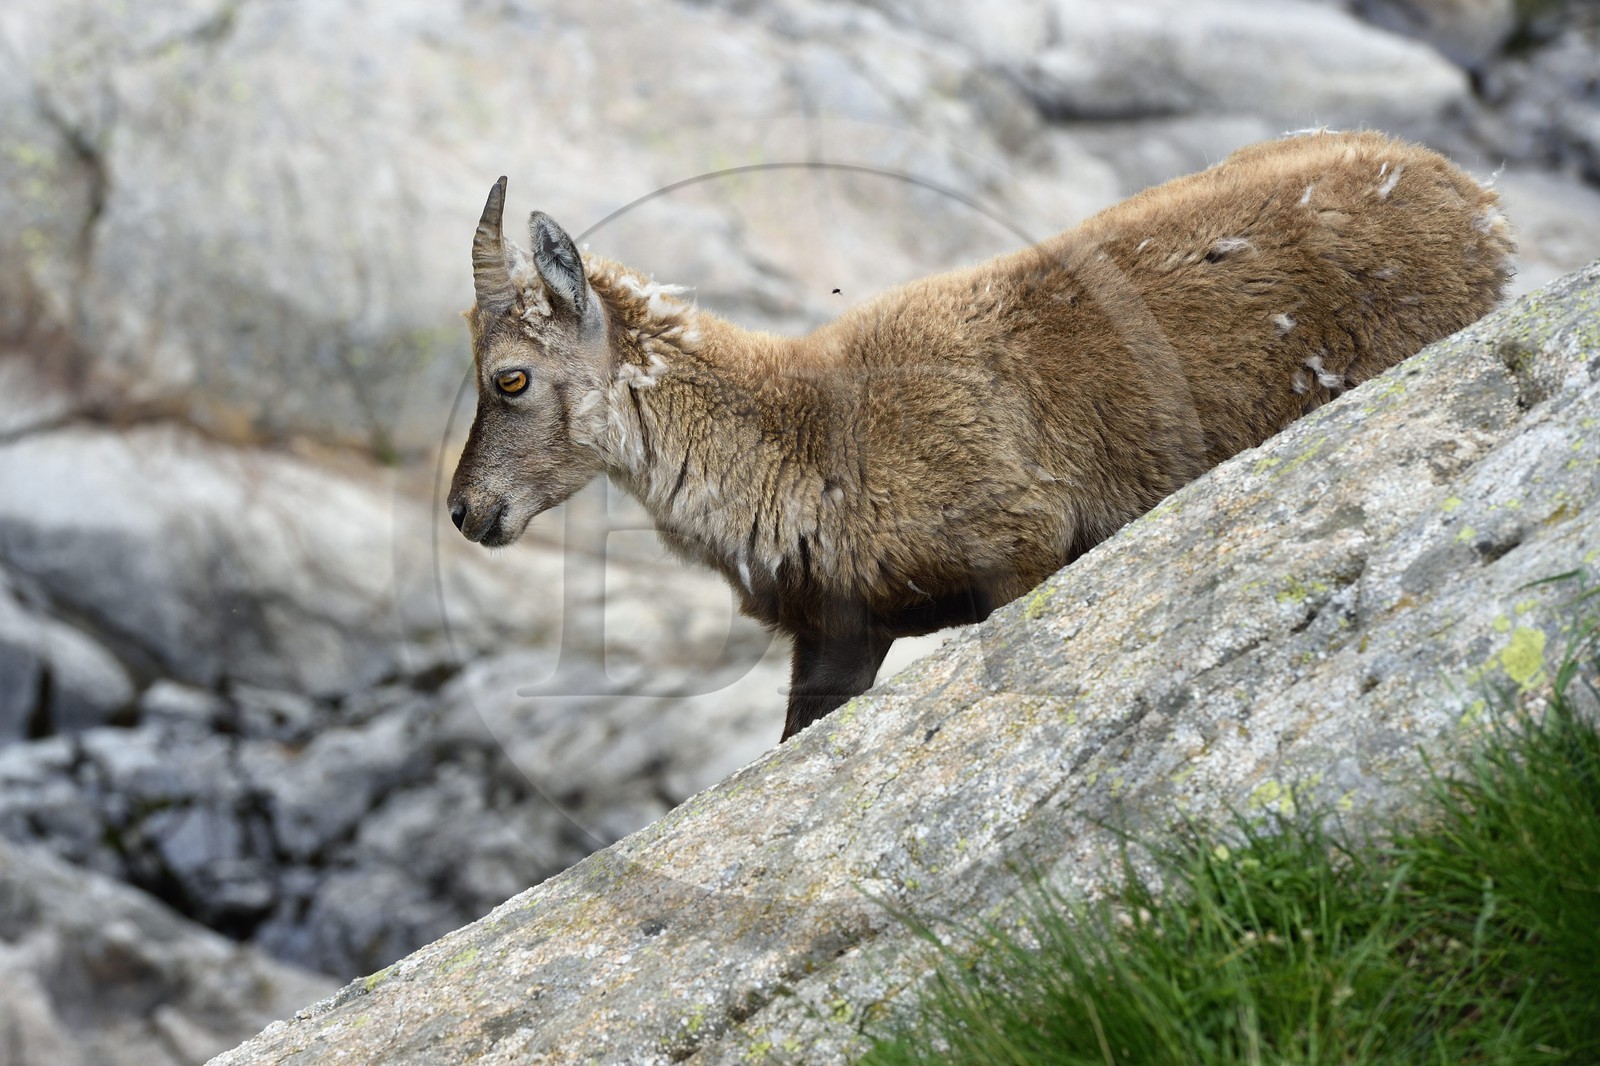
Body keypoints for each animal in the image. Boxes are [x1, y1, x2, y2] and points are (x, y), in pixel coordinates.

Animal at [448, 130, 1514, 741]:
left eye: (511, 377)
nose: (465, 512)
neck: (803, 438)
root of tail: (1478, 203)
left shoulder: (1022, 545)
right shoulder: (843, 633)